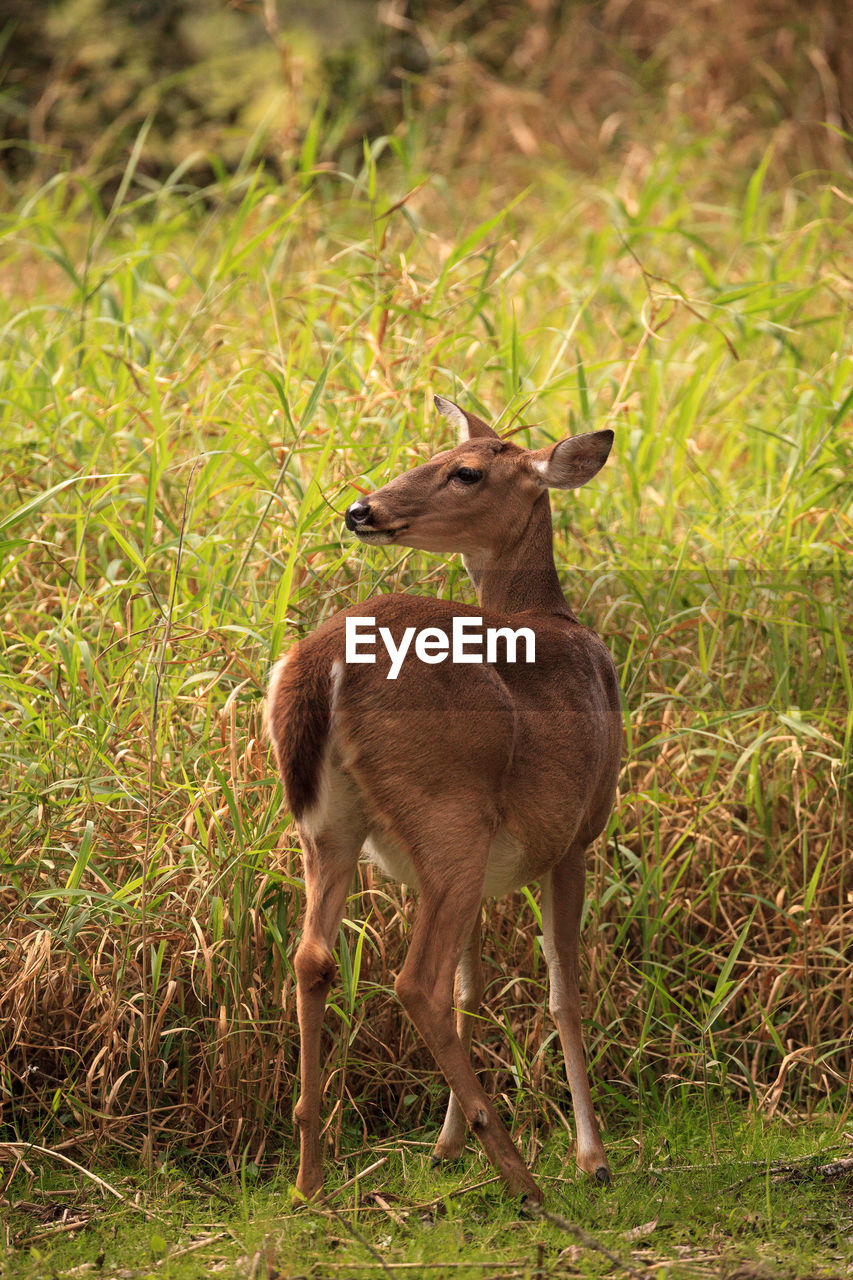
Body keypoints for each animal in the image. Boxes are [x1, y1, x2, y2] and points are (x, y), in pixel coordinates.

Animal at [268, 394, 622, 1203]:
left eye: (462, 470)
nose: (360, 510)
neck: (554, 621)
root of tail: (323, 658)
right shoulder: (574, 835)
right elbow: (562, 989)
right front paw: (591, 1155)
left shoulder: (490, 867)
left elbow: (475, 991)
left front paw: (444, 1145)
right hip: (448, 812)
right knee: (415, 982)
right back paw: (520, 1173)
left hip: (331, 825)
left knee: (312, 958)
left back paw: (309, 1176)